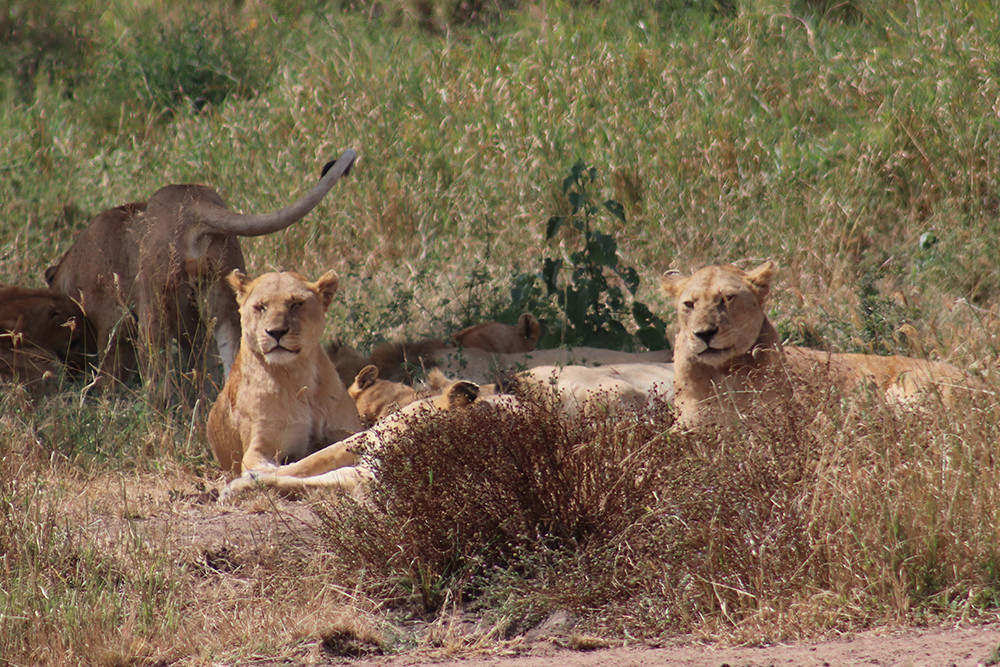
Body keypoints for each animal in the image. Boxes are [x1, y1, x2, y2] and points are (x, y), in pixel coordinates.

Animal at [45, 149, 357, 392]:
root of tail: (193, 201)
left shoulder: (114, 319)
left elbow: (110, 374)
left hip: (153, 306)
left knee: (159, 384)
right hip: (224, 304)